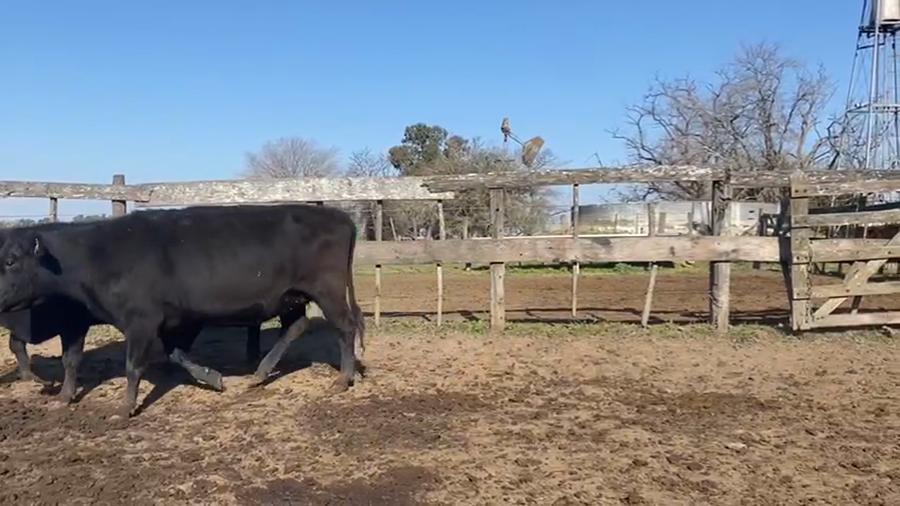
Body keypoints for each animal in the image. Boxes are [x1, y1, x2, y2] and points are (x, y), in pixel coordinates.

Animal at [0, 203, 365, 417]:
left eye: (10, 260)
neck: (99, 254)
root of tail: (340, 215)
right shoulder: (165, 321)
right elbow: (174, 354)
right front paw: (213, 378)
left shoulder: (140, 321)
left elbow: (133, 366)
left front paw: (126, 407)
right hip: (292, 296)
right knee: (295, 327)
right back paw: (259, 375)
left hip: (328, 291)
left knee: (345, 327)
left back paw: (343, 379)